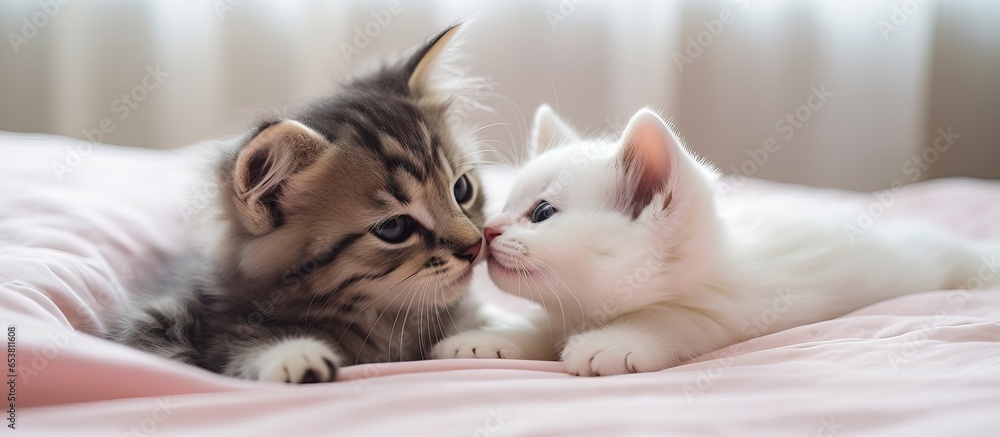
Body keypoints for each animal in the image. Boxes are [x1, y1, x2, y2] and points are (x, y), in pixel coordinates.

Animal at [109, 23, 492, 382]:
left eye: (461, 190)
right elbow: (238, 347)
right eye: (394, 228)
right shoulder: (213, 330)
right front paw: (293, 355)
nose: (475, 246)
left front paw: (477, 341)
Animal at [432, 103, 1000, 374]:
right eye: (503, 206)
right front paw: (493, 338)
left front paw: (614, 342)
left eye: (543, 213)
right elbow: (542, 321)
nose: (488, 231)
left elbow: (676, 318)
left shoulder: (735, 308)